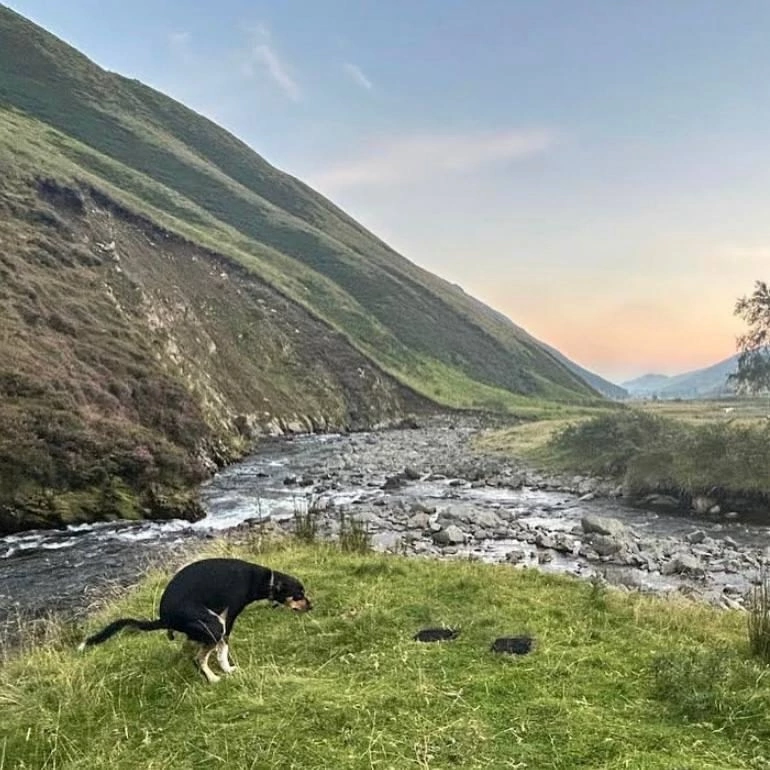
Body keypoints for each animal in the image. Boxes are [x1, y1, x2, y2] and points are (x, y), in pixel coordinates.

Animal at [76, 556, 308, 680]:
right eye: (298, 595)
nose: (311, 606)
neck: (264, 580)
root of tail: (164, 618)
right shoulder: (228, 618)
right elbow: (223, 650)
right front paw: (226, 669)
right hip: (214, 625)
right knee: (199, 657)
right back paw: (212, 678)